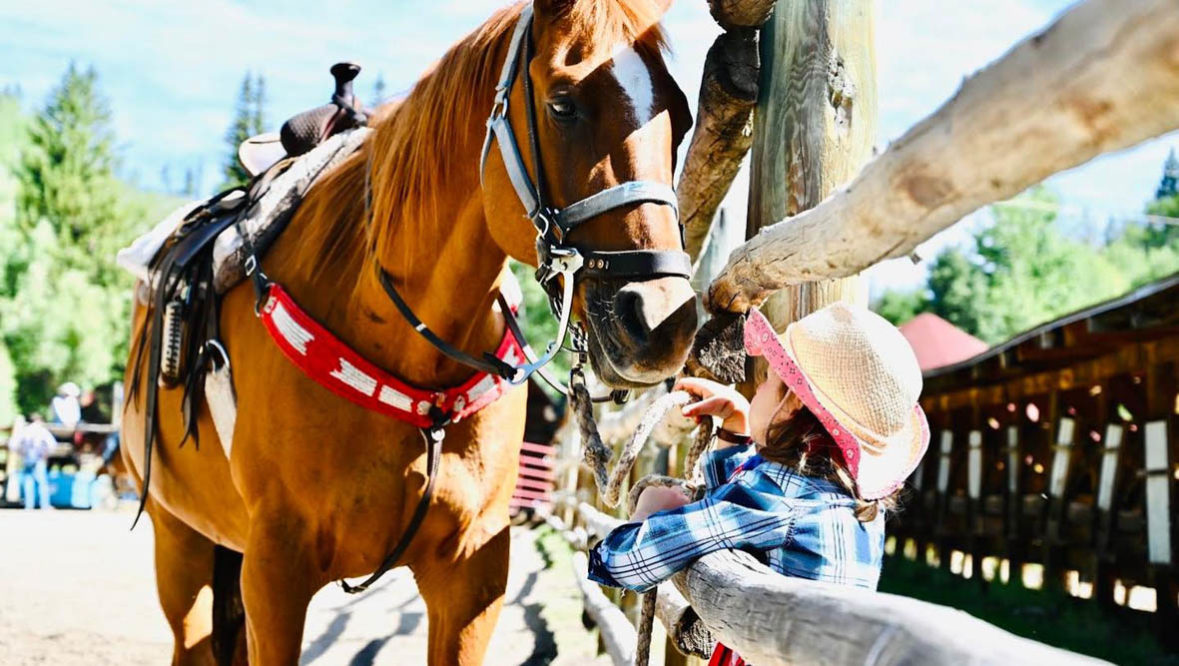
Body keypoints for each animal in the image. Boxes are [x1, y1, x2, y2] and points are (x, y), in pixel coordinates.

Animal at [120, 0, 696, 663]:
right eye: (562, 105)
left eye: (680, 117)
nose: (662, 319)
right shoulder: (274, 573)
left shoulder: (472, 576)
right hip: (179, 538)